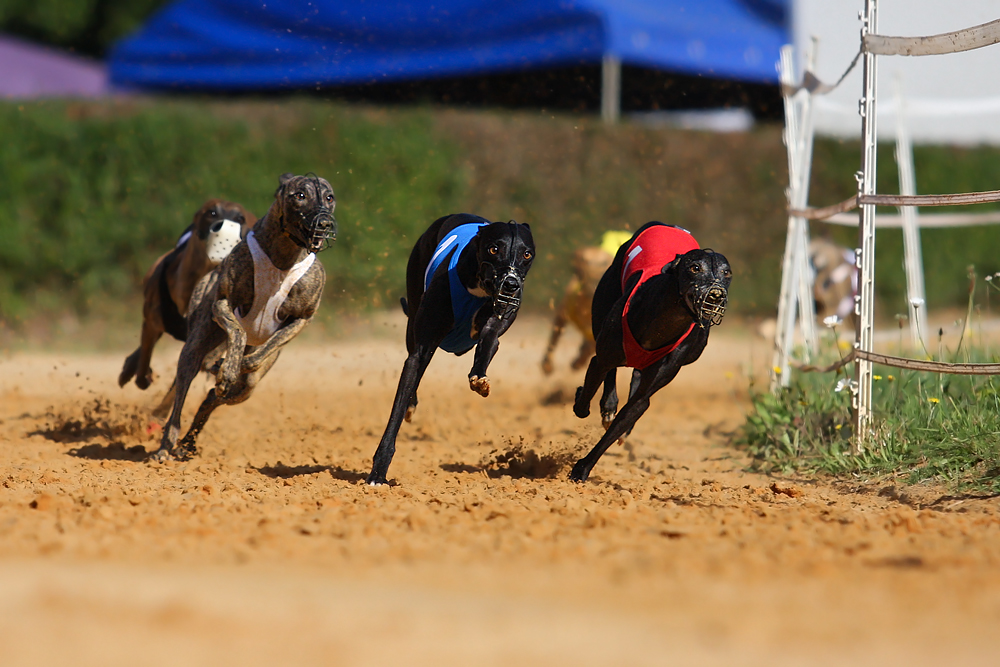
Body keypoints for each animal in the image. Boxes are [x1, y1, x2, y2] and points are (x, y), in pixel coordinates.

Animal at [368, 214, 536, 486]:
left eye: (527, 254)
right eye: (494, 248)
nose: (511, 286)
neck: (478, 286)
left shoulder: (495, 324)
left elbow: (488, 340)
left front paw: (479, 378)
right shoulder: (422, 348)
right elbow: (399, 404)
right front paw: (378, 473)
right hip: (413, 315)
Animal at [576, 222, 732, 482]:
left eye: (726, 273)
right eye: (694, 268)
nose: (716, 294)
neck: (665, 321)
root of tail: (672, 225)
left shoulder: (645, 396)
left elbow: (628, 414)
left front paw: (583, 468)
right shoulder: (600, 358)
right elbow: (587, 393)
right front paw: (584, 402)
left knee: (636, 377)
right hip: (601, 306)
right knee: (611, 368)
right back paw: (608, 404)